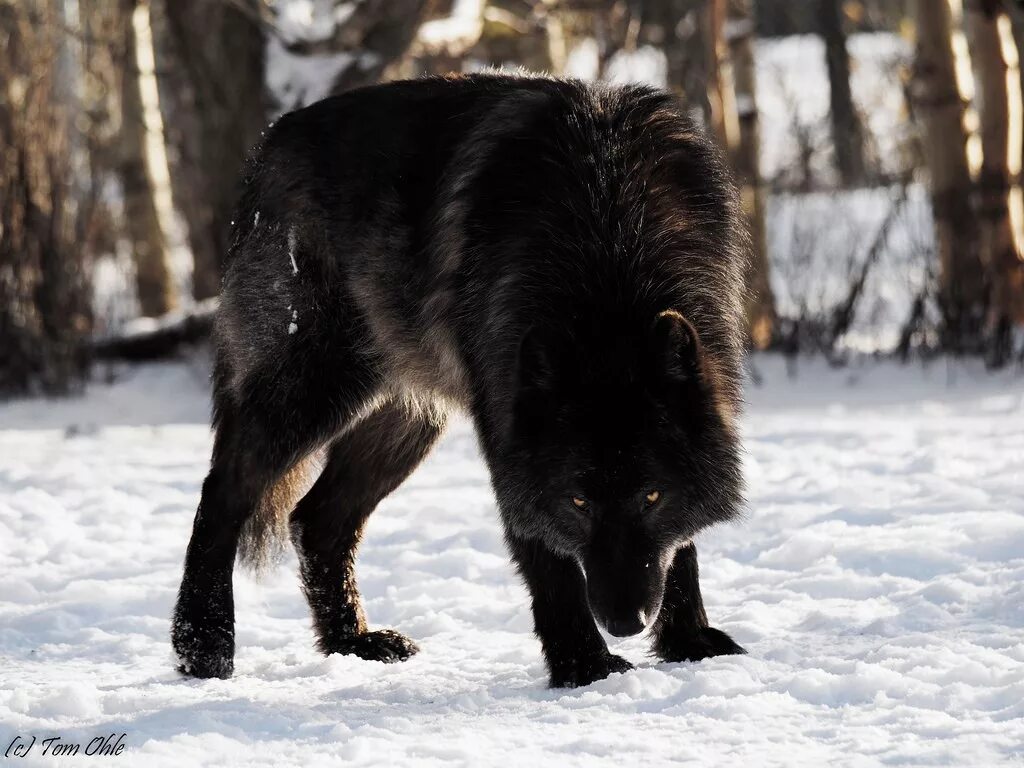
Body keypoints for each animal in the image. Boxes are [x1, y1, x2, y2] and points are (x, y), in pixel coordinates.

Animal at [169, 72, 745, 688]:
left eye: (652, 496)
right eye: (578, 502)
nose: (626, 622)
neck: (611, 234)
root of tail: (268, 144)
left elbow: (680, 547)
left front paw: (688, 642)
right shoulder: (508, 435)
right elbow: (547, 557)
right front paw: (583, 666)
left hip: (406, 423)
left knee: (315, 520)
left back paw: (353, 641)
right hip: (314, 389)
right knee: (223, 490)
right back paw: (203, 643)